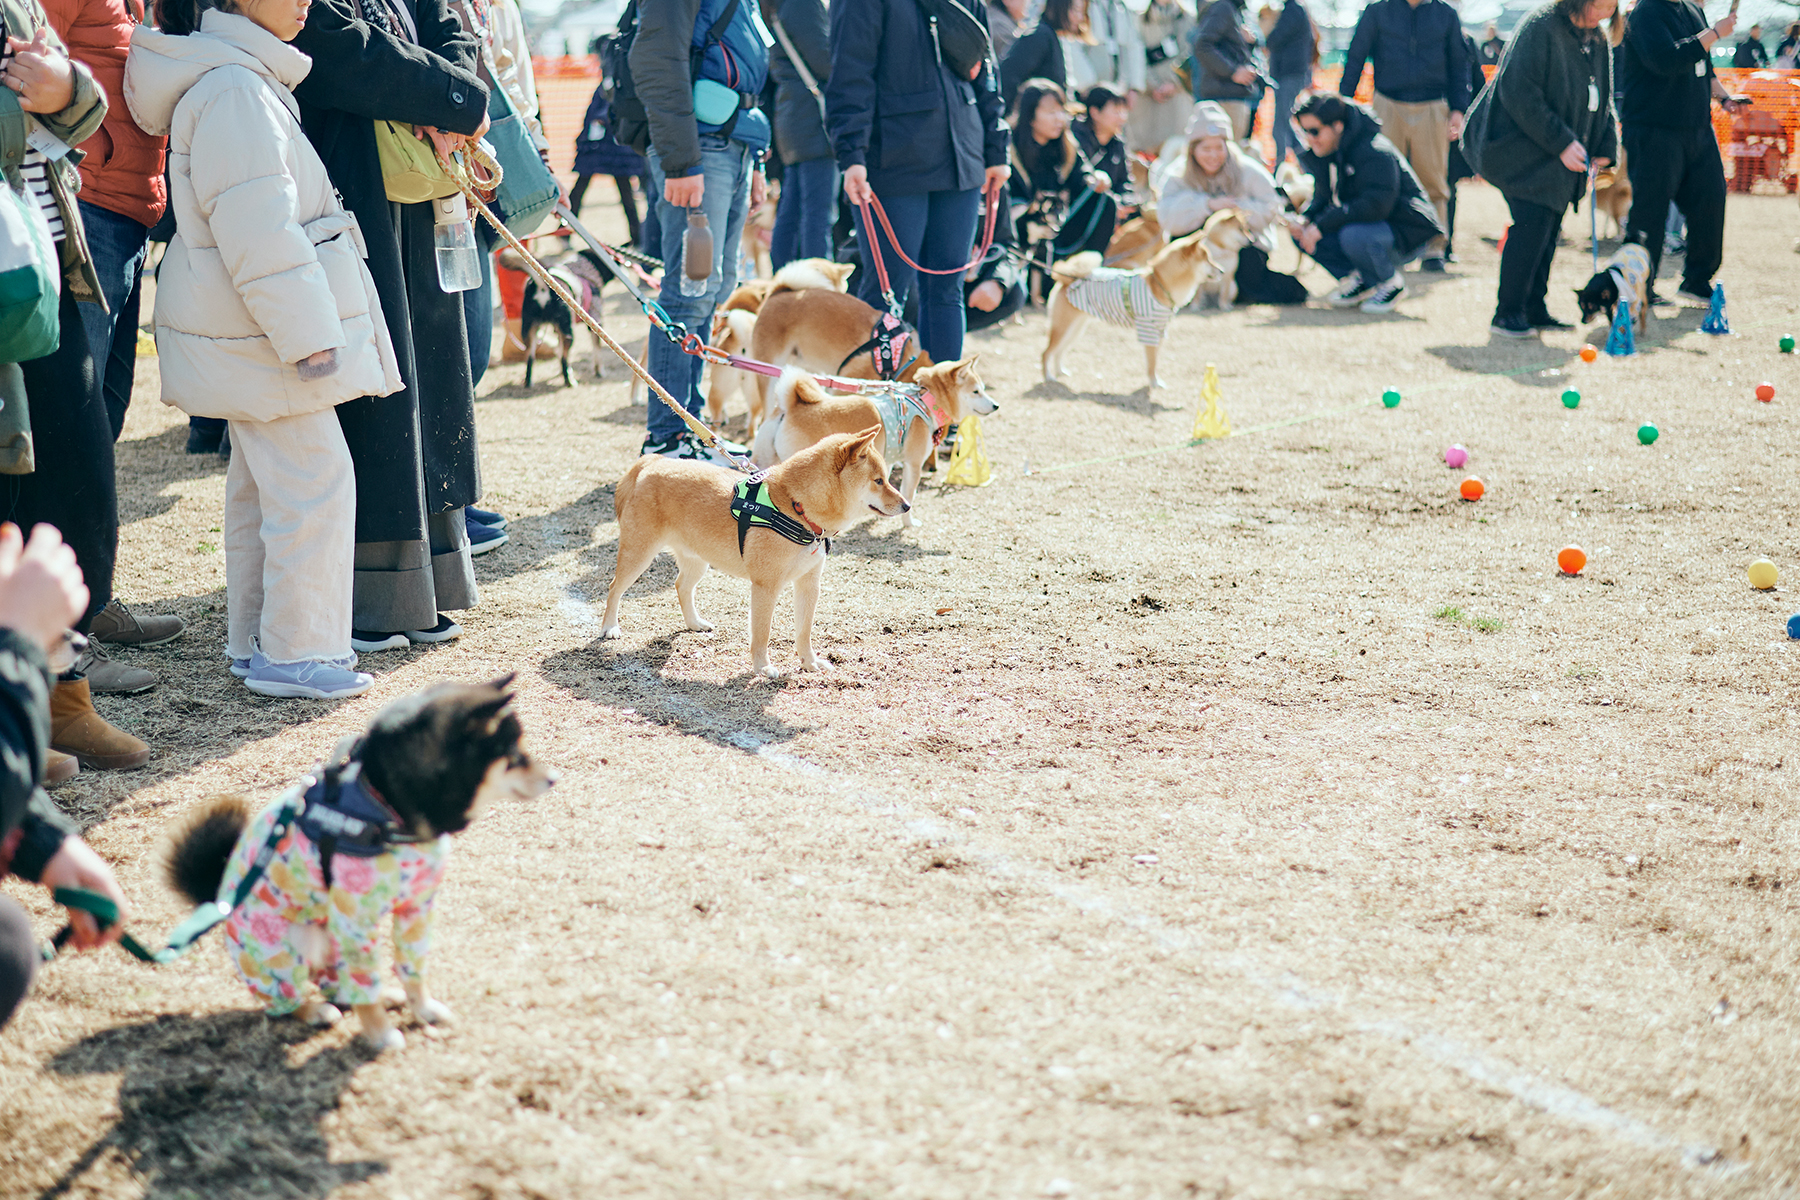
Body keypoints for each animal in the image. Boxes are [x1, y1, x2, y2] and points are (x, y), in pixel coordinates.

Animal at [1051, 228, 1216, 390]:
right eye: (1207, 259)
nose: (1221, 270)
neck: (1159, 284)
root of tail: (1069, 278)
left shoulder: (1160, 330)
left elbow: (1155, 360)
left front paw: (1155, 380)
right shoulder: (1149, 331)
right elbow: (1152, 362)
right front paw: (1154, 383)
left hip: (1075, 329)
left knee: (1058, 351)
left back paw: (1060, 372)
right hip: (1063, 328)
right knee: (1048, 352)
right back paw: (1049, 376)